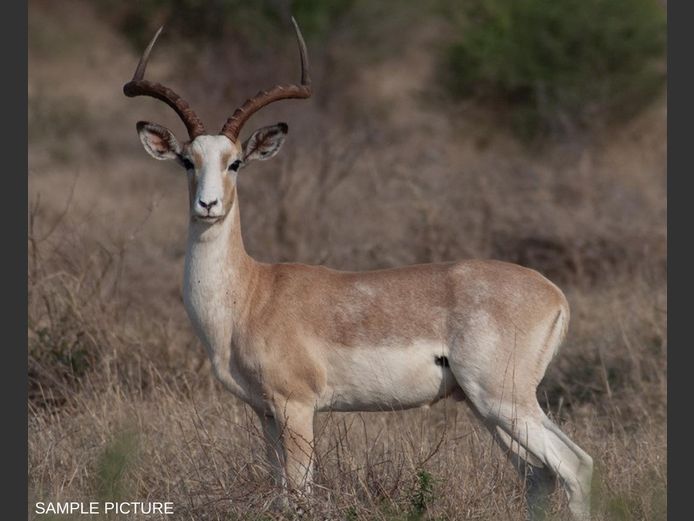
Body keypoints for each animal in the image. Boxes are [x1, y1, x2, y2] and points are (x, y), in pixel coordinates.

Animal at [124, 18, 593, 520]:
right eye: (186, 161)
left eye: (235, 163)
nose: (207, 205)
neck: (251, 294)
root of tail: (554, 294)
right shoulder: (265, 413)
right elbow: (279, 490)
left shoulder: (296, 408)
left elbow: (300, 494)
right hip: (488, 407)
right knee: (540, 474)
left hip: (502, 399)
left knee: (573, 465)